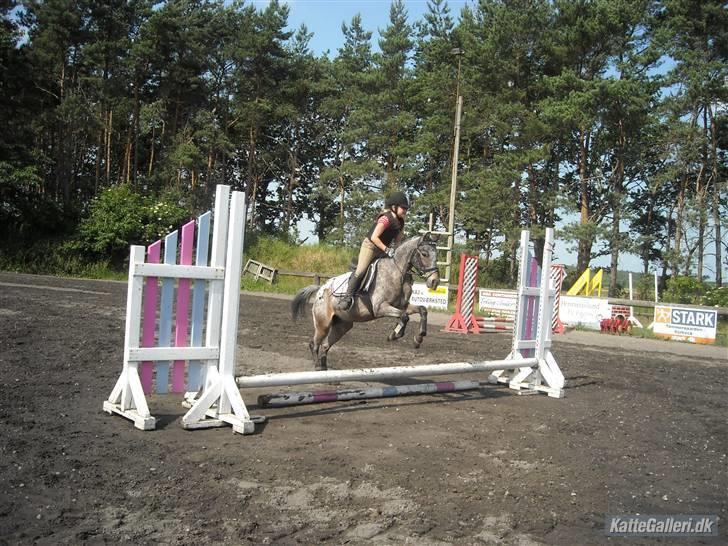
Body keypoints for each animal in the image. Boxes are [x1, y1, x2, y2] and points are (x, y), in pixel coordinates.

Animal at [288, 232, 438, 368]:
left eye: (436, 254)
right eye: (424, 254)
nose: (434, 281)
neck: (396, 272)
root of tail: (321, 289)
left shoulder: (402, 305)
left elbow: (422, 310)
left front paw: (418, 338)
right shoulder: (380, 308)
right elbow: (404, 316)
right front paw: (395, 335)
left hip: (343, 325)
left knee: (325, 345)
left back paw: (324, 368)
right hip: (323, 324)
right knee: (314, 344)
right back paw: (317, 366)